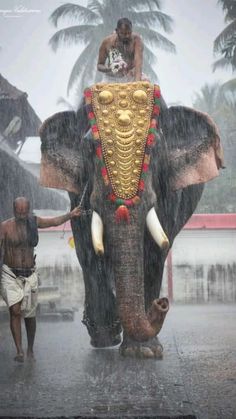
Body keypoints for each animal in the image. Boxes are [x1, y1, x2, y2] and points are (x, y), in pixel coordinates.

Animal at [38, 83, 223, 360]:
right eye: (89, 148)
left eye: (155, 148)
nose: (162, 303)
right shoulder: (78, 190)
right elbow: (89, 249)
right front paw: (107, 338)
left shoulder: (167, 191)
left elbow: (155, 252)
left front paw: (143, 351)